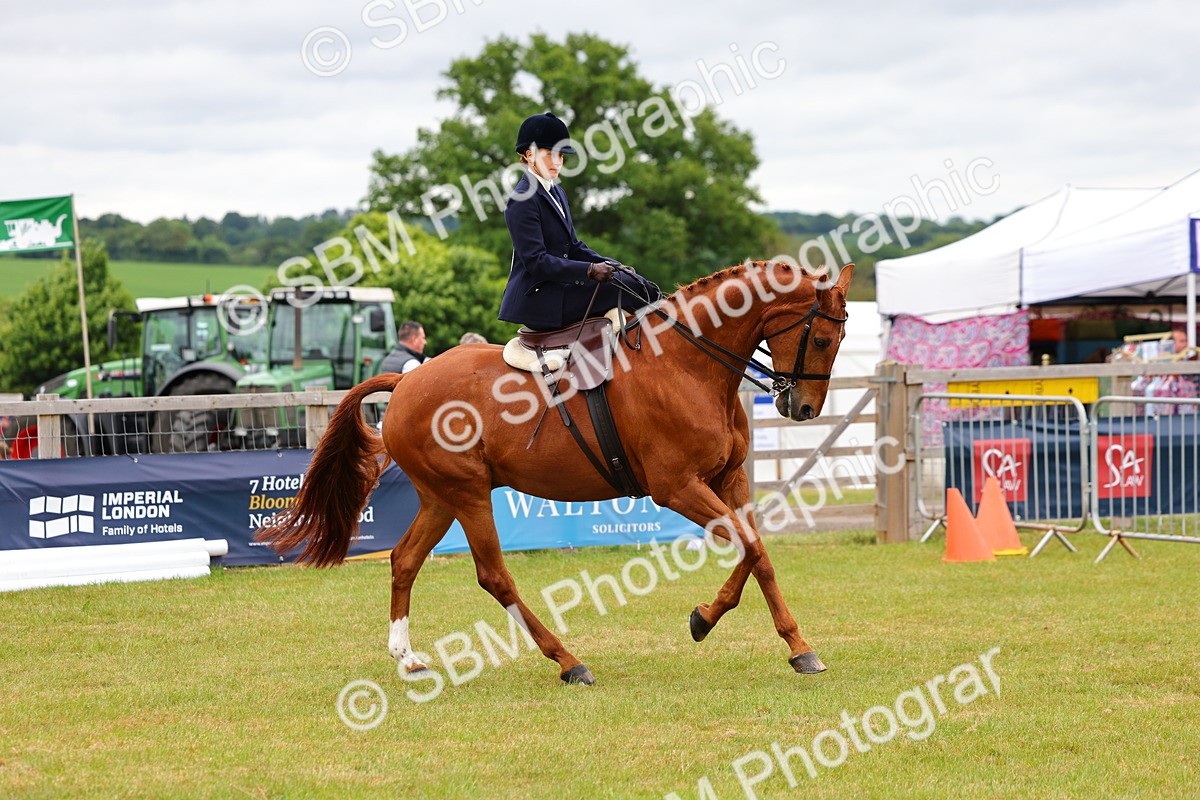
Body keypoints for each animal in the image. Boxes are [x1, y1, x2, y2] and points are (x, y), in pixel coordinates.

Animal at [256, 261, 853, 686]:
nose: (803, 409)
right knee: (494, 576)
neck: (688, 364)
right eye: (823, 339)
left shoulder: (730, 480)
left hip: (440, 497)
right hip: (468, 494)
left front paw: (793, 646)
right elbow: (751, 547)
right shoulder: (676, 488)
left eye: (840, 341)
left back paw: (407, 658)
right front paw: (709, 620)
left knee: (404, 561)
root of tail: (405, 383)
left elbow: (759, 553)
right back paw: (568, 661)